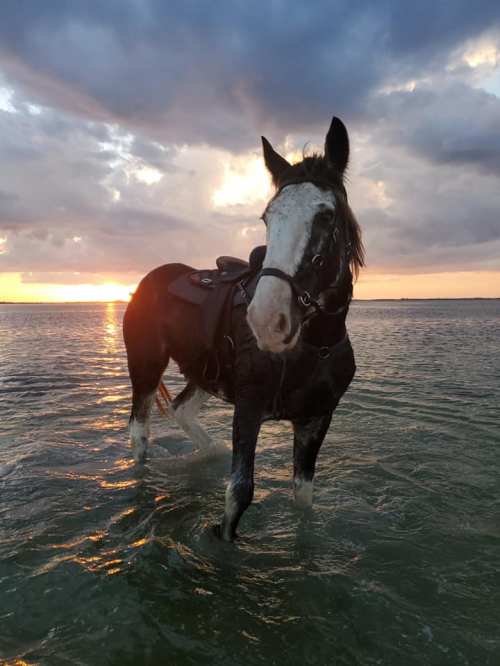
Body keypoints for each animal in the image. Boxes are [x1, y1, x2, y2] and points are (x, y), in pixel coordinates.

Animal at [123, 116, 364, 541]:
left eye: (327, 216)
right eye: (268, 217)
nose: (267, 320)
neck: (316, 346)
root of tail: (151, 279)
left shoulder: (316, 420)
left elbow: (303, 499)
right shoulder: (248, 410)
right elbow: (239, 495)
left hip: (203, 374)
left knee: (183, 411)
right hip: (146, 368)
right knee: (140, 433)